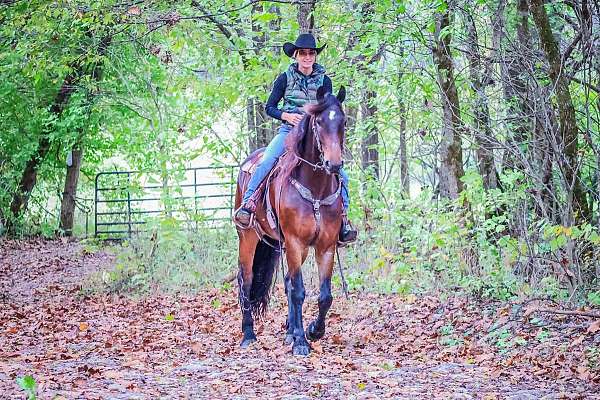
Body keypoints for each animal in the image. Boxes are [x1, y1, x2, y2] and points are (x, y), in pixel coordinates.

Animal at [234, 86, 346, 354]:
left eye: (343, 121)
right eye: (319, 122)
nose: (334, 164)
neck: (316, 189)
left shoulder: (326, 246)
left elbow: (324, 295)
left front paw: (313, 331)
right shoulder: (295, 242)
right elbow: (298, 291)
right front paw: (302, 342)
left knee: (285, 282)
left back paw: (289, 332)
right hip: (248, 237)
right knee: (246, 281)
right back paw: (249, 335)